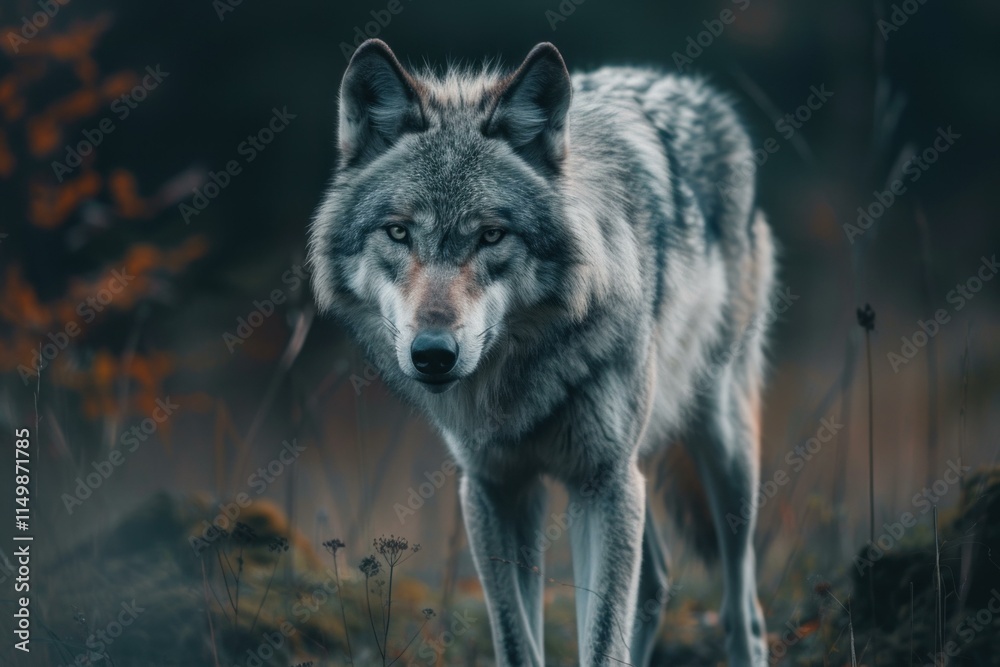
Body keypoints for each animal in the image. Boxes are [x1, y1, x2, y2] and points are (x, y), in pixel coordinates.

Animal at [308, 39, 776, 666]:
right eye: (399, 232)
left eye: (491, 235)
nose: (433, 353)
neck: (520, 382)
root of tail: (701, 91)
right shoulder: (494, 488)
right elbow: (516, 641)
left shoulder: (602, 482)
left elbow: (601, 643)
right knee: (655, 584)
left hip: (722, 451)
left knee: (741, 608)